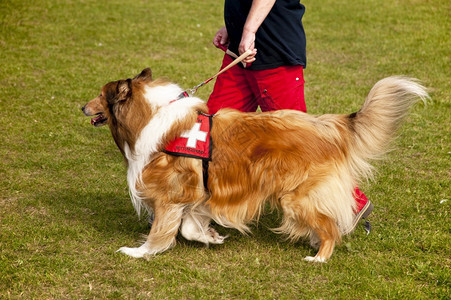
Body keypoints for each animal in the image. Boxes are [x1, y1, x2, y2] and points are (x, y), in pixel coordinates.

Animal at [83, 69, 430, 262]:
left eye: (100, 95)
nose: (82, 106)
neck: (149, 116)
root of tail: (328, 126)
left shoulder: (171, 195)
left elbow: (161, 231)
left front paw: (139, 253)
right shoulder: (200, 194)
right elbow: (190, 227)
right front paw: (211, 237)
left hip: (296, 197)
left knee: (330, 227)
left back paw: (319, 256)